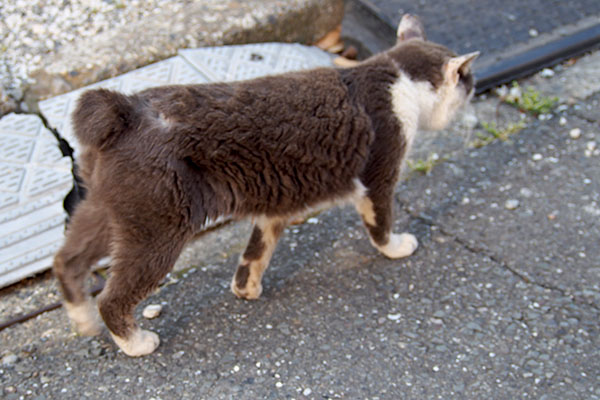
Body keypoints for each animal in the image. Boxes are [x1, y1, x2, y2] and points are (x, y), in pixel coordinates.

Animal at [54, 14, 480, 356]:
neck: (395, 75)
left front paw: (246, 290)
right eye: (469, 83)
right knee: (113, 298)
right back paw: (136, 343)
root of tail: (123, 110)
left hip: (107, 211)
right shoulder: (379, 177)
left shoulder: (277, 206)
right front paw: (397, 248)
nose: (473, 94)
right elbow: (381, 224)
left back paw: (83, 320)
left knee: (67, 260)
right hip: (158, 229)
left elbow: (256, 252)